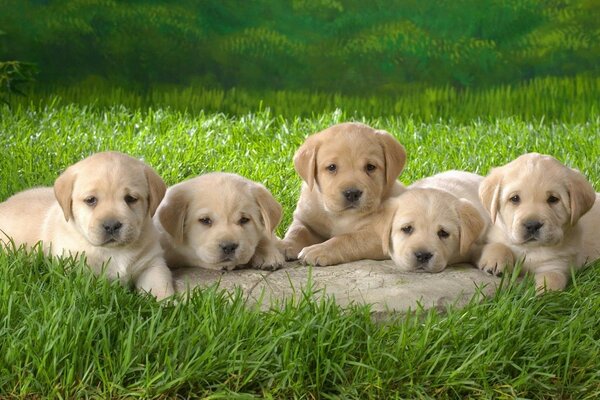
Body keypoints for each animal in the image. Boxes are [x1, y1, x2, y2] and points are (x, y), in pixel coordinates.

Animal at [0, 152, 173, 300]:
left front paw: (168, 306)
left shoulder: (152, 264)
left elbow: (160, 285)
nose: (111, 225)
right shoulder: (76, 268)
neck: (113, 251)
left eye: (131, 198)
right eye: (91, 200)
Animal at [282, 122, 408, 266]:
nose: (352, 193)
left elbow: (347, 238)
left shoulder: (379, 236)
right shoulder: (305, 219)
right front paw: (283, 245)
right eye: (331, 167)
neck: (340, 216)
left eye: (370, 167)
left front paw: (320, 249)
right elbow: (297, 231)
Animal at [478, 152, 600, 290]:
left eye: (553, 199)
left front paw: (540, 294)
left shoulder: (556, 267)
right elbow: (497, 244)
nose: (532, 225)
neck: (531, 249)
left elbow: (551, 282)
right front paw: (495, 260)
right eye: (515, 198)